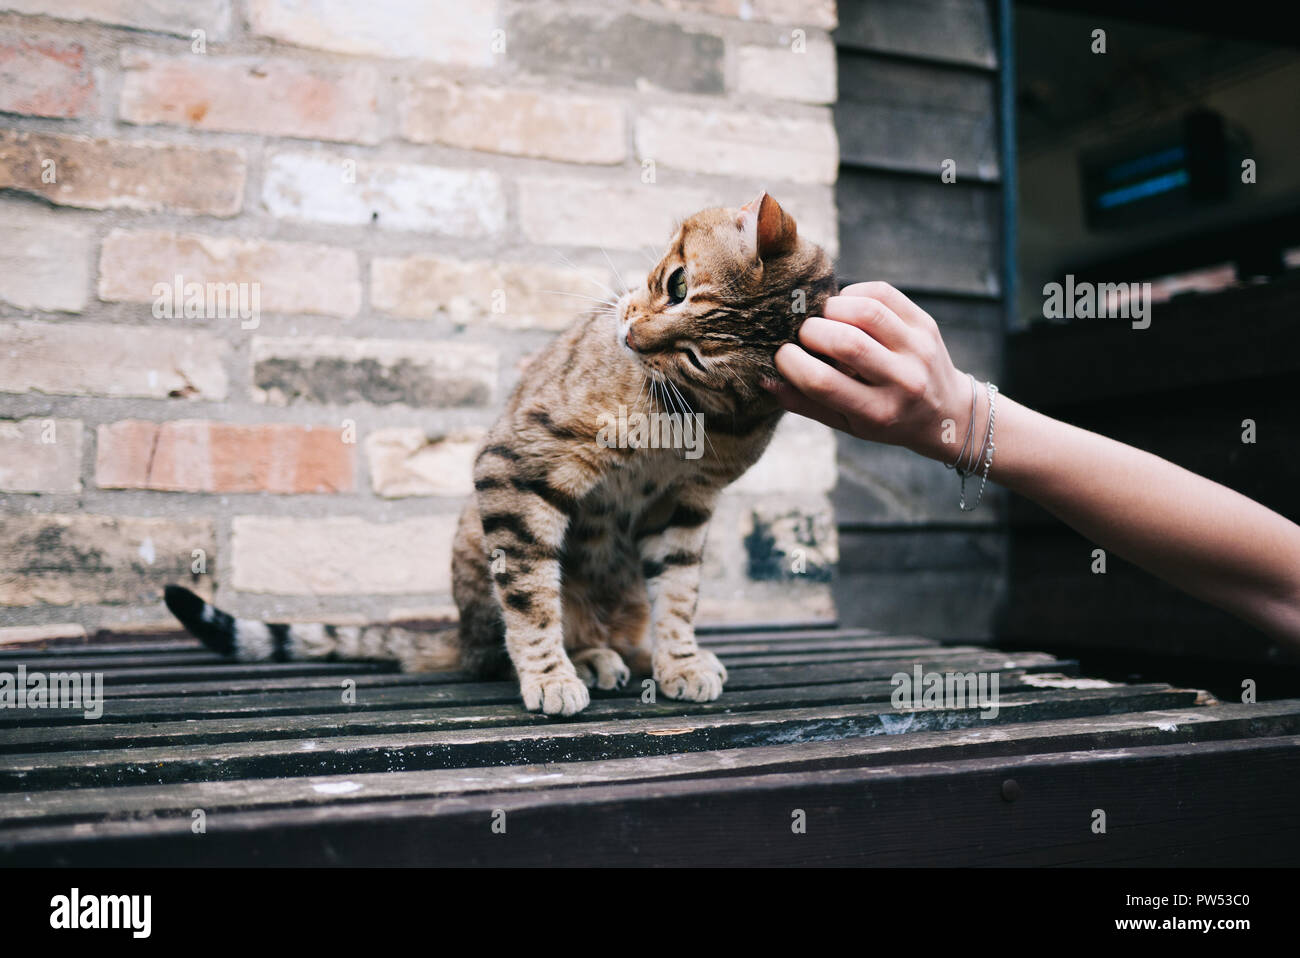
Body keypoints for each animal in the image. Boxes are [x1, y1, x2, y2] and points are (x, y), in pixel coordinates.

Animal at [165, 191, 832, 712]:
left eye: (696, 358)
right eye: (678, 284)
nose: (633, 334)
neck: (684, 418)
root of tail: (458, 636)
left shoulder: (684, 502)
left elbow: (678, 593)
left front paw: (681, 662)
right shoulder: (520, 462)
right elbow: (530, 597)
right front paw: (551, 677)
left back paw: (642, 654)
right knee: (508, 636)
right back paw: (590, 658)